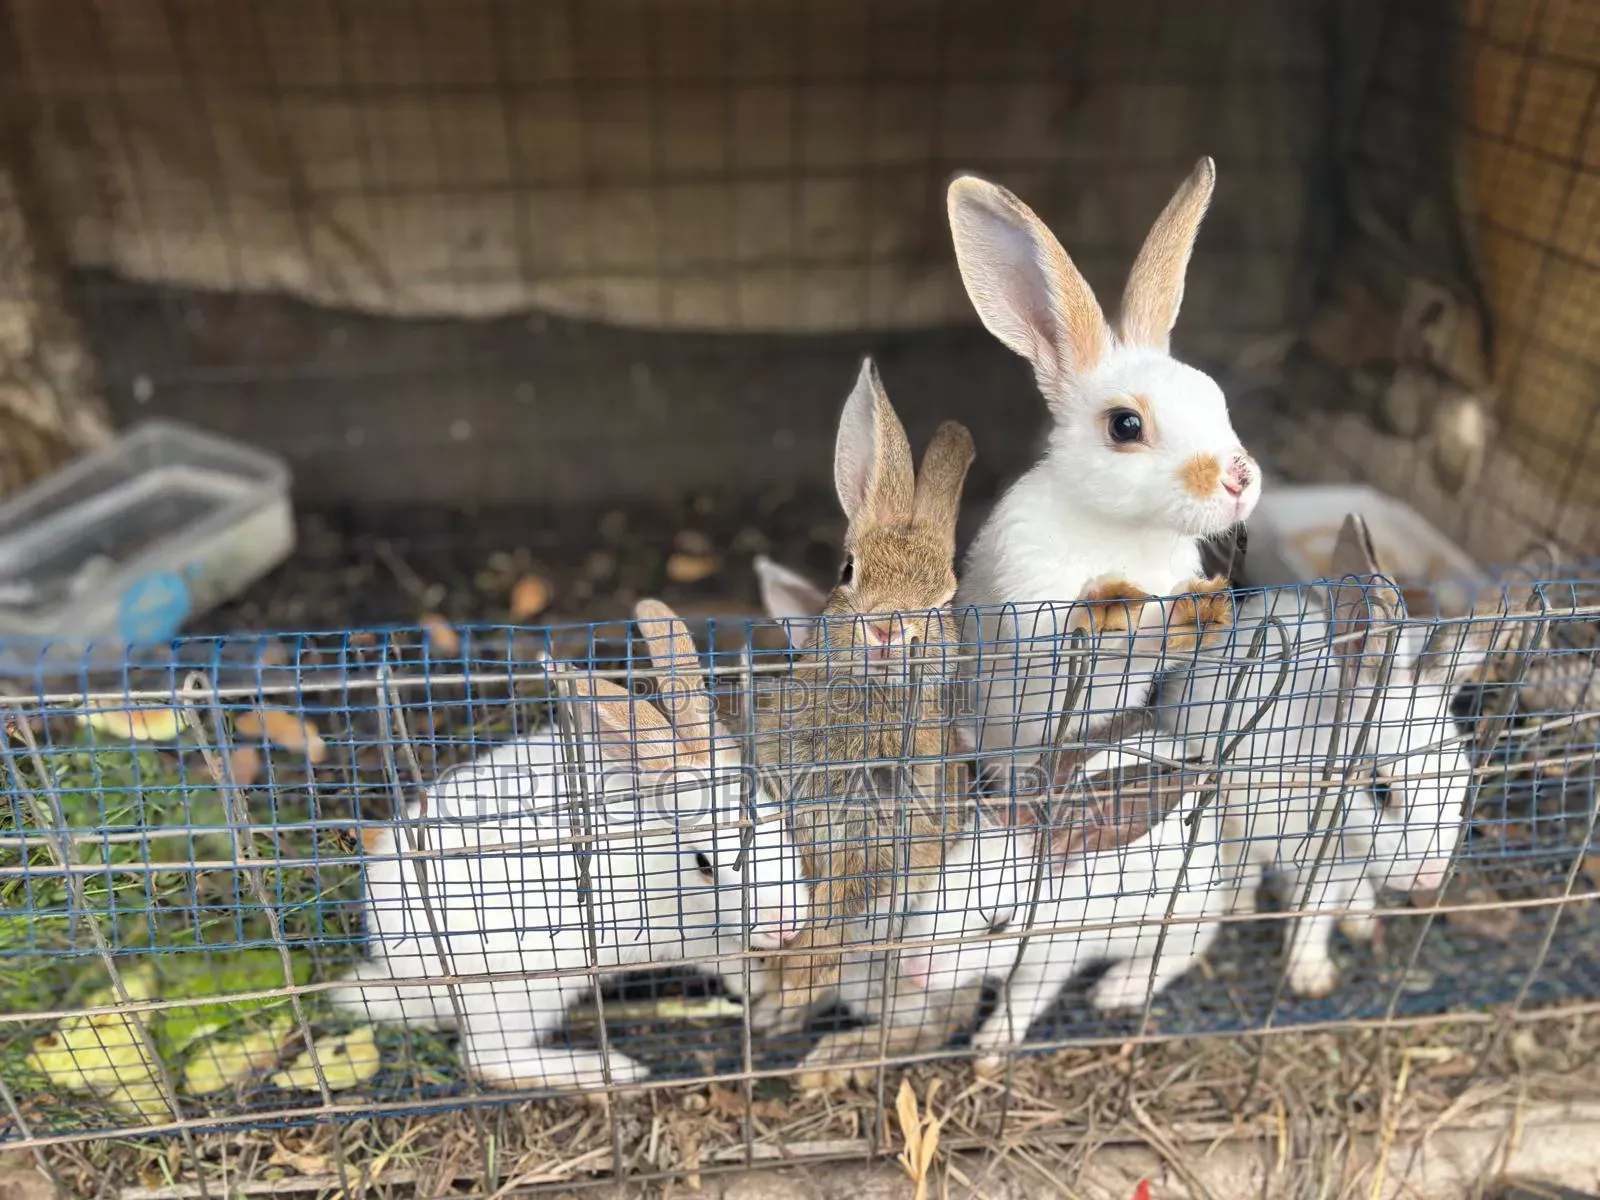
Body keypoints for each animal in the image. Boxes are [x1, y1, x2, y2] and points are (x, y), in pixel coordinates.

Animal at [329, 599, 809, 1091]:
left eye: (778, 824)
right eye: (704, 864)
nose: (788, 924)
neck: (655, 856)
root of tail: (398, 971)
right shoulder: (687, 942)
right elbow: (727, 963)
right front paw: (758, 988)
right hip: (524, 992)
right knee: (483, 1058)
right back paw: (607, 1068)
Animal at [748, 358, 977, 1039]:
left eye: (944, 602)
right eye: (848, 571)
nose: (886, 630)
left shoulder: (882, 840)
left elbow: (839, 908)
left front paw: (795, 978)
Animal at [898, 741, 1259, 1068]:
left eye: (999, 925)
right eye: (926, 894)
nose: (914, 973)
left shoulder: (1053, 962)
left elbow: (1023, 1000)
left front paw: (990, 1046)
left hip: (1175, 921)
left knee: (1193, 945)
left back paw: (1116, 989)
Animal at [945, 158, 1256, 780]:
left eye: (1214, 397)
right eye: (1125, 426)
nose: (1238, 479)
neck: (1124, 530)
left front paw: (1205, 607)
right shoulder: (1030, 601)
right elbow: (1073, 633)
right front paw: (1112, 601)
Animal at [1155, 514, 1498, 998]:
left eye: (1461, 784)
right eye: (1380, 790)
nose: (1429, 879)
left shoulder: (1329, 871)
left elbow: (1313, 916)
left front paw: (1310, 975)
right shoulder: (1234, 816)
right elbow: (1242, 870)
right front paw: (1238, 906)